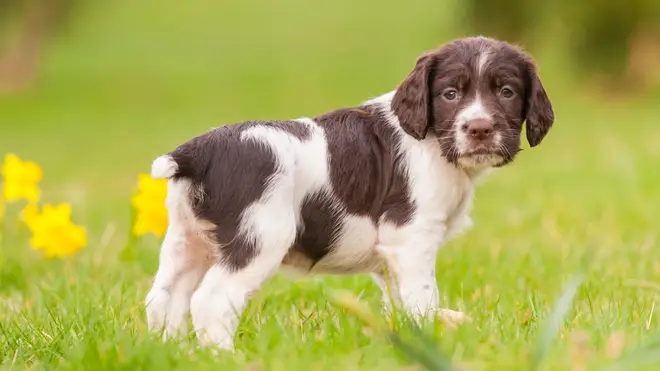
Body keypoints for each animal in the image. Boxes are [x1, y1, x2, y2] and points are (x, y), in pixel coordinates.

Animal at [143, 36, 552, 354]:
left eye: (507, 92)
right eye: (450, 94)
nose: (479, 129)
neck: (433, 141)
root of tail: (194, 153)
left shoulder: (391, 256)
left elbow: (401, 304)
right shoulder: (411, 237)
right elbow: (423, 296)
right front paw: (433, 337)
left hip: (187, 240)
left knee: (164, 299)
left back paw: (173, 350)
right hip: (259, 238)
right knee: (210, 301)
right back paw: (226, 357)